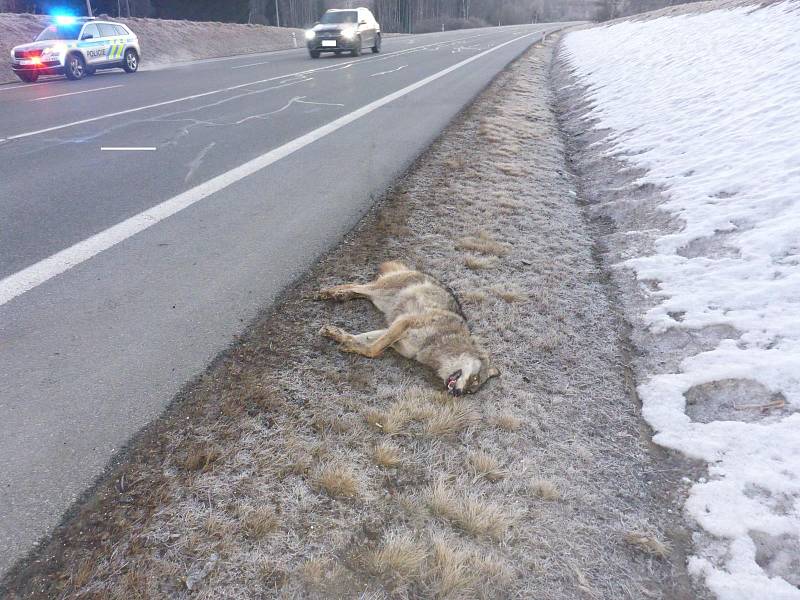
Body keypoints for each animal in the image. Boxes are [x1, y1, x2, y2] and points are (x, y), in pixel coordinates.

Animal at [318, 262, 500, 394]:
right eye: (474, 379)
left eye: (471, 391)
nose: (458, 394)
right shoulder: (404, 322)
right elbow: (374, 350)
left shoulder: (394, 331)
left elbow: (365, 341)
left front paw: (338, 335)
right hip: (381, 290)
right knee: (355, 284)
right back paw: (329, 292)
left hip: (379, 300)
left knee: (359, 291)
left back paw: (341, 296)